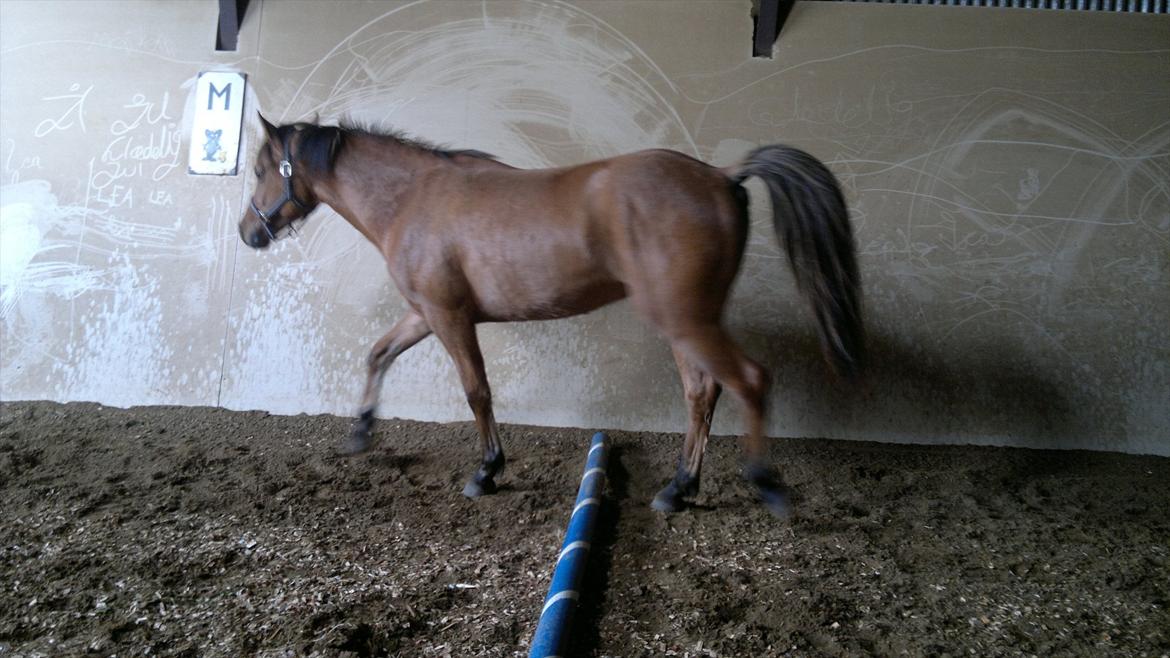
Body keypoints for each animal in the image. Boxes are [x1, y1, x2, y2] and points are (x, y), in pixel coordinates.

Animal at [238, 114, 863, 517]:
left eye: (262, 169)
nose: (249, 234)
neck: (414, 199)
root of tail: (722, 176)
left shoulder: (448, 316)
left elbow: (477, 392)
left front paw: (487, 471)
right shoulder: (424, 313)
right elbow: (378, 353)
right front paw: (361, 431)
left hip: (684, 319)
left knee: (748, 381)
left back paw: (764, 484)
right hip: (689, 322)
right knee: (702, 393)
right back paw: (678, 489)